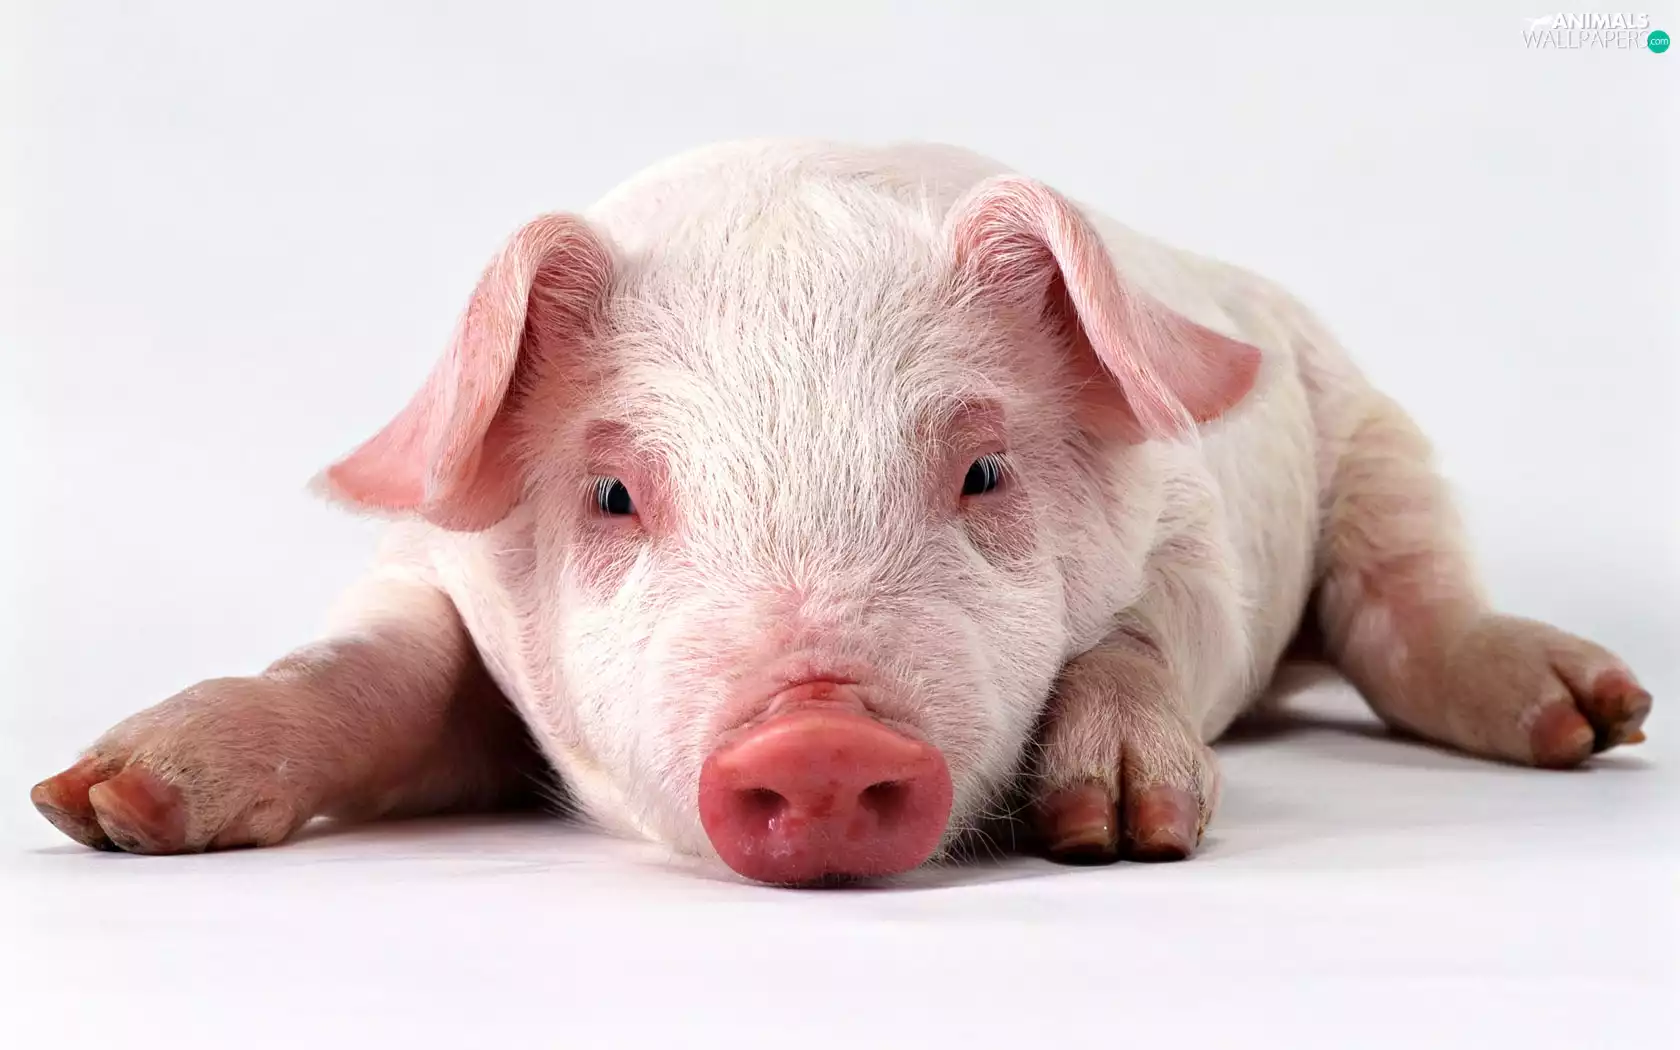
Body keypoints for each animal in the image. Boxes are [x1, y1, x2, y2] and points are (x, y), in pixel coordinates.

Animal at [31, 139, 1654, 885]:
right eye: (613, 491)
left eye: (984, 473)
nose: (818, 737)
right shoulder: (432, 572)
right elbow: (371, 666)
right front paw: (104, 806)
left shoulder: (1194, 540)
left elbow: (1134, 636)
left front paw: (1117, 830)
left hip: (1374, 431)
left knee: (1412, 599)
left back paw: (1593, 717)